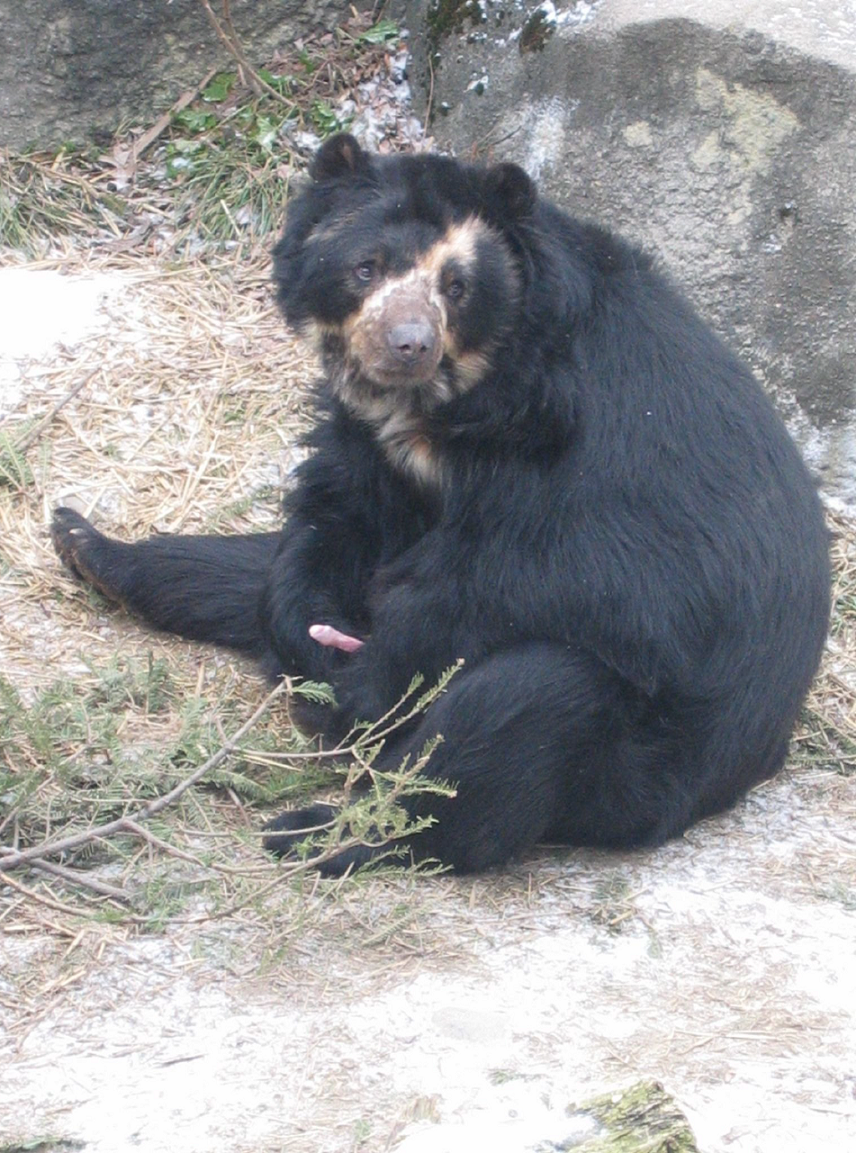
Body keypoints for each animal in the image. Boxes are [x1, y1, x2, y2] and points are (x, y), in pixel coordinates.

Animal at [51, 132, 830, 871]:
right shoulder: (380, 453)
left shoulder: (591, 463)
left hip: (643, 769)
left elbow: (579, 583)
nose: (408, 344)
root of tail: (748, 767)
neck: (463, 400)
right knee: (249, 571)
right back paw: (88, 545)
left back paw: (323, 832)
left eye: (456, 286)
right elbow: (338, 511)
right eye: (366, 267)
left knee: (517, 710)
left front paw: (364, 686)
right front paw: (311, 637)